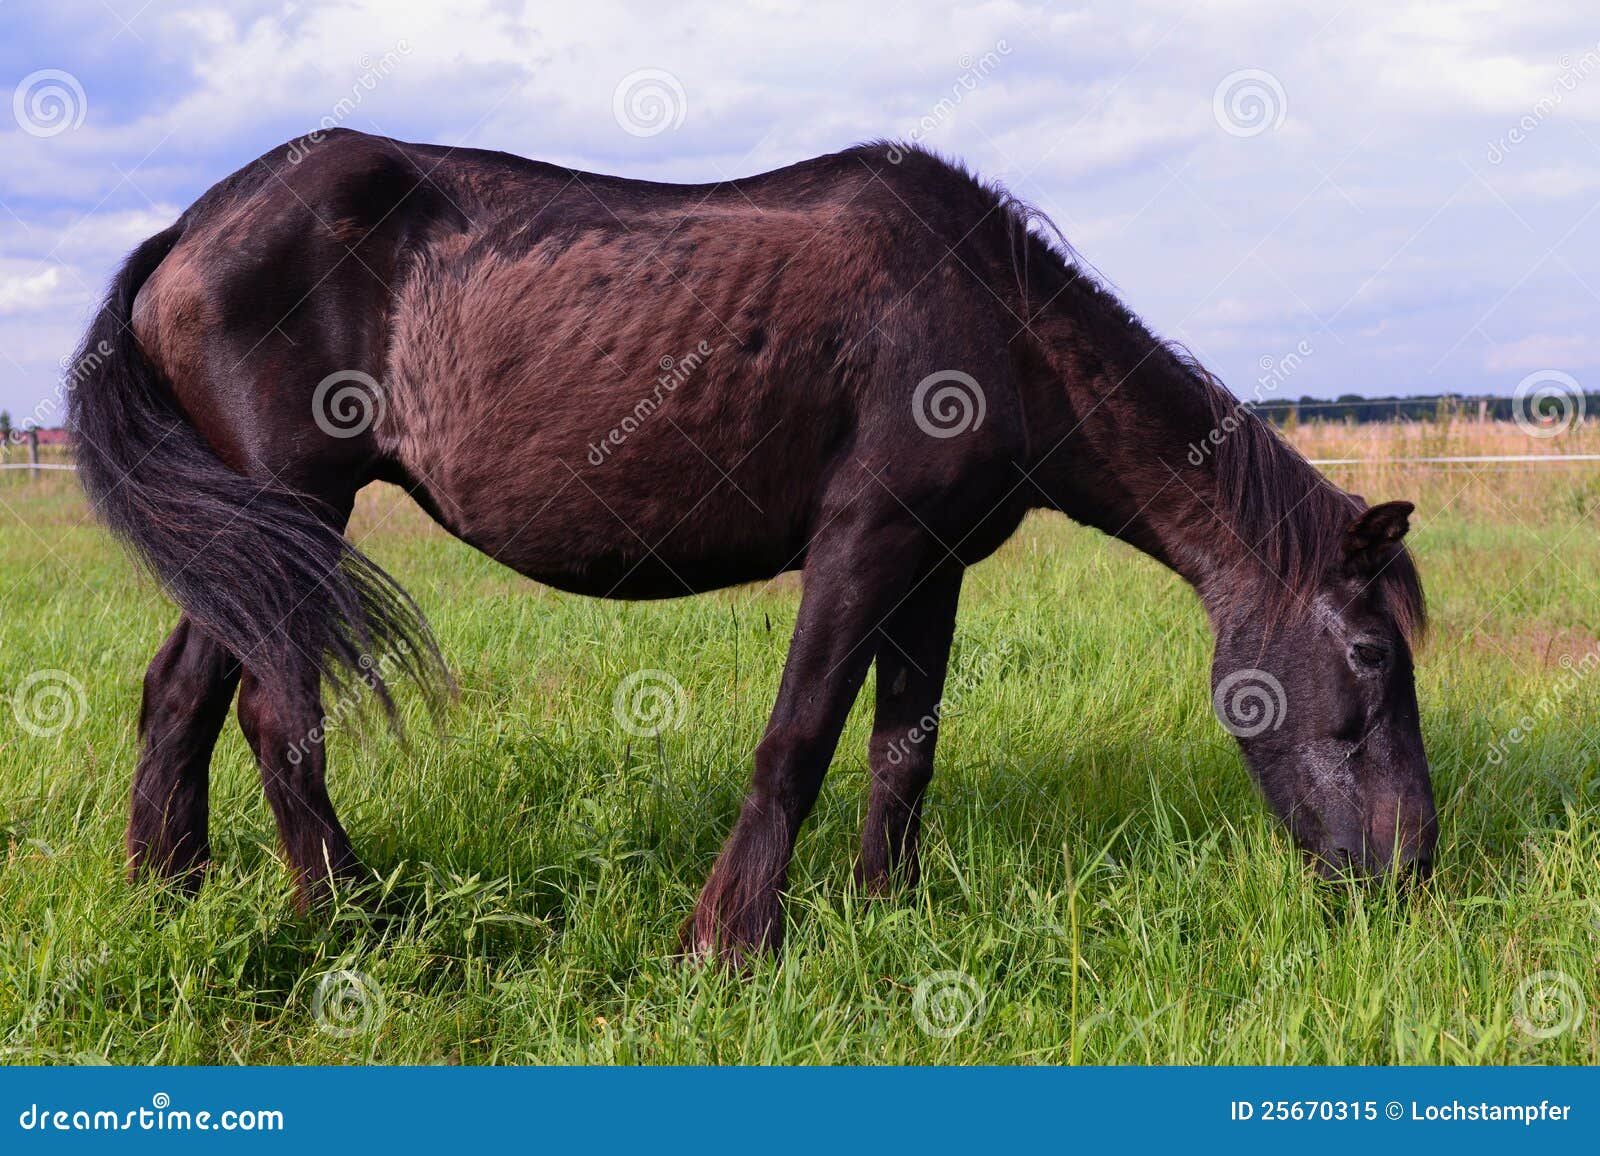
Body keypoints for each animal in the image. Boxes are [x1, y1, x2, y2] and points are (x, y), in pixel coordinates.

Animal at [69, 130, 1435, 965]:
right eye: (1372, 653)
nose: (1412, 870)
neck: (994, 326)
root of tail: (190, 227)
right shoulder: (862, 544)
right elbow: (800, 740)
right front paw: (729, 941)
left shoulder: (932, 565)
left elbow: (901, 749)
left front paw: (885, 908)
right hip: (295, 506)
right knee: (269, 712)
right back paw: (351, 915)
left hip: (248, 529)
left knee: (182, 693)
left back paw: (172, 889)